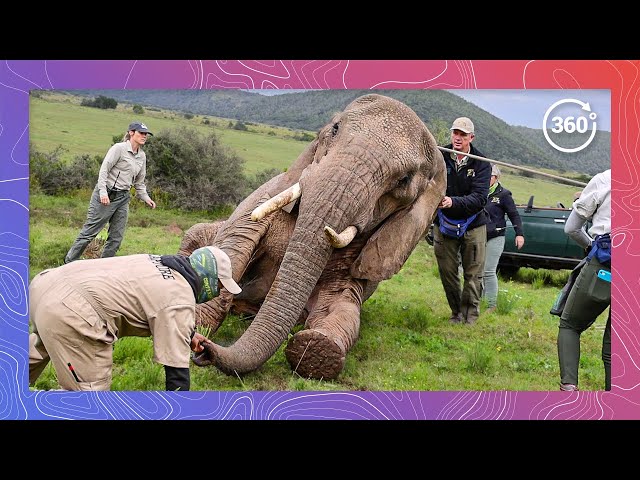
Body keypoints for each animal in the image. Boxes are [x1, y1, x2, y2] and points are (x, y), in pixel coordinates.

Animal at [179, 93, 447, 380]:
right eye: (335, 129)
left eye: (404, 180)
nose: (203, 350)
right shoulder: (270, 191)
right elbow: (235, 246)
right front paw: (196, 323)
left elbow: (341, 305)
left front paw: (316, 350)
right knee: (195, 234)